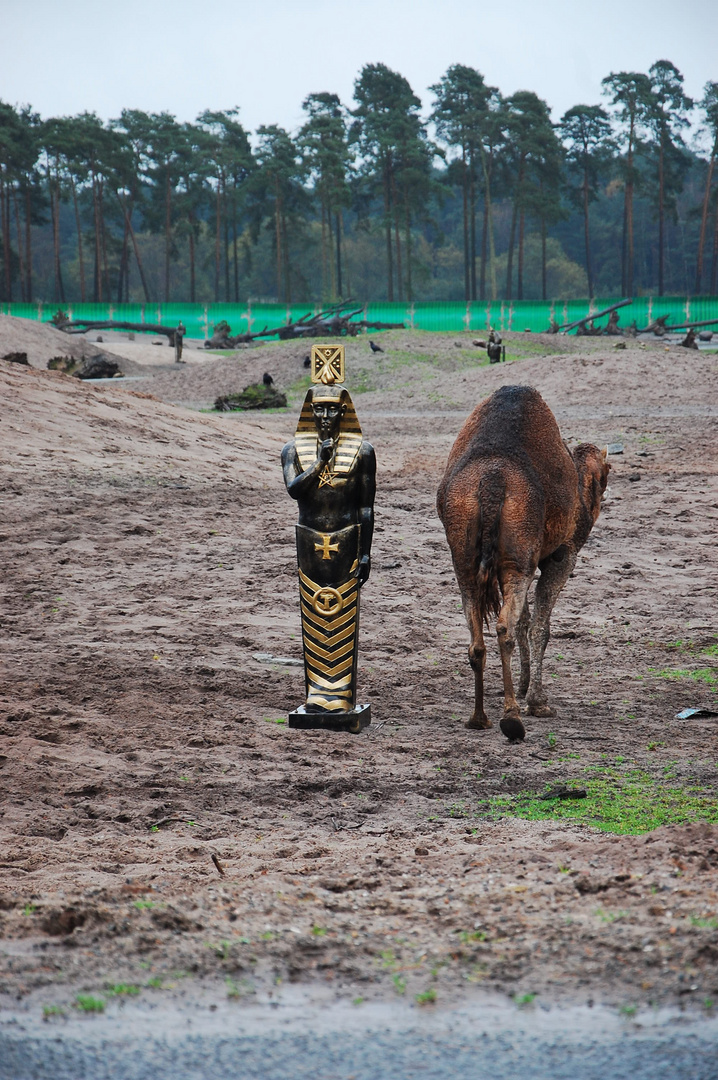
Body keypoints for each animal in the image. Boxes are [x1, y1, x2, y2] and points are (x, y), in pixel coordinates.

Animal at [434, 388, 608, 743]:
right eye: (605, 479)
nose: (596, 508)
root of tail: (493, 481)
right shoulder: (562, 556)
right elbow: (541, 626)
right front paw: (537, 701)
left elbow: (526, 620)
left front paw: (526, 686)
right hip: (519, 555)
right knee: (504, 627)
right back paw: (511, 717)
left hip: (466, 558)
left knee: (476, 631)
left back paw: (479, 717)